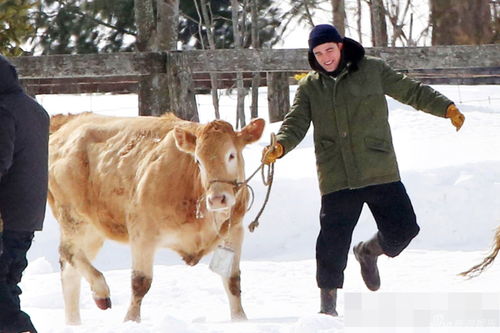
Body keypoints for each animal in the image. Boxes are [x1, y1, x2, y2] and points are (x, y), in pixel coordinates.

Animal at [47, 111, 266, 322]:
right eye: (198, 160)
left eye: (231, 155)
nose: (218, 198)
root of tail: (68, 124)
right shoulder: (142, 232)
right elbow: (140, 282)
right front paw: (131, 320)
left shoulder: (235, 231)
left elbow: (232, 280)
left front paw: (240, 319)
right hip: (73, 217)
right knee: (68, 252)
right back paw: (101, 292)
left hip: (94, 230)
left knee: (70, 273)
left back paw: (74, 322)